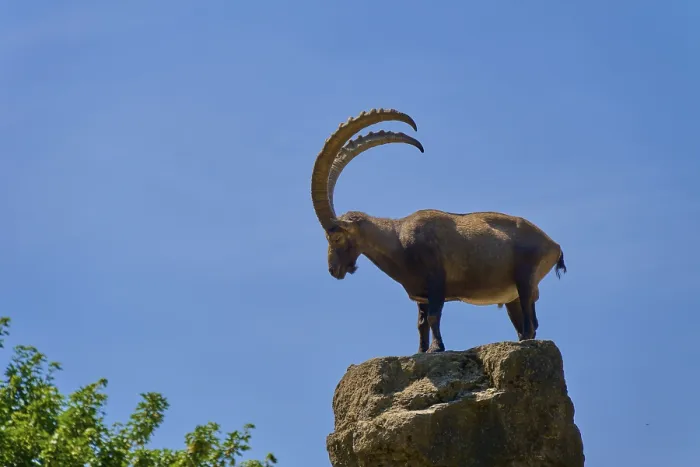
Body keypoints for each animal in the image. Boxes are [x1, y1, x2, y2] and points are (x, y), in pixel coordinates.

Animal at [310, 108, 567, 353]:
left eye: (336, 237)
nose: (333, 270)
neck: (398, 240)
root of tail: (553, 245)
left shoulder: (437, 282)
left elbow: (434, 317)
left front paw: (437, 348)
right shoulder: (421, 295)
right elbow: (421, 323)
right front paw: (420, 351)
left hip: (525, 279)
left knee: (531, 324)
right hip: (512, 296)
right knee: (526, 326)